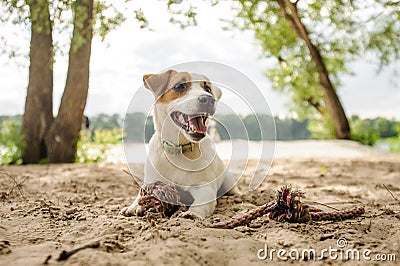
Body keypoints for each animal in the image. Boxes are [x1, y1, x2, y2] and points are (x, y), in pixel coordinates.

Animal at [120, 69, 241, 219]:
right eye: (179, 86)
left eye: (208, 89)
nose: (208, 99)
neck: (179, 149)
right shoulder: (151, 181)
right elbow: (139, 196)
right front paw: (133, 206)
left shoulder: (205, 188)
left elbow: (201, 202)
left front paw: (192, 213)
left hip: (228, 181)